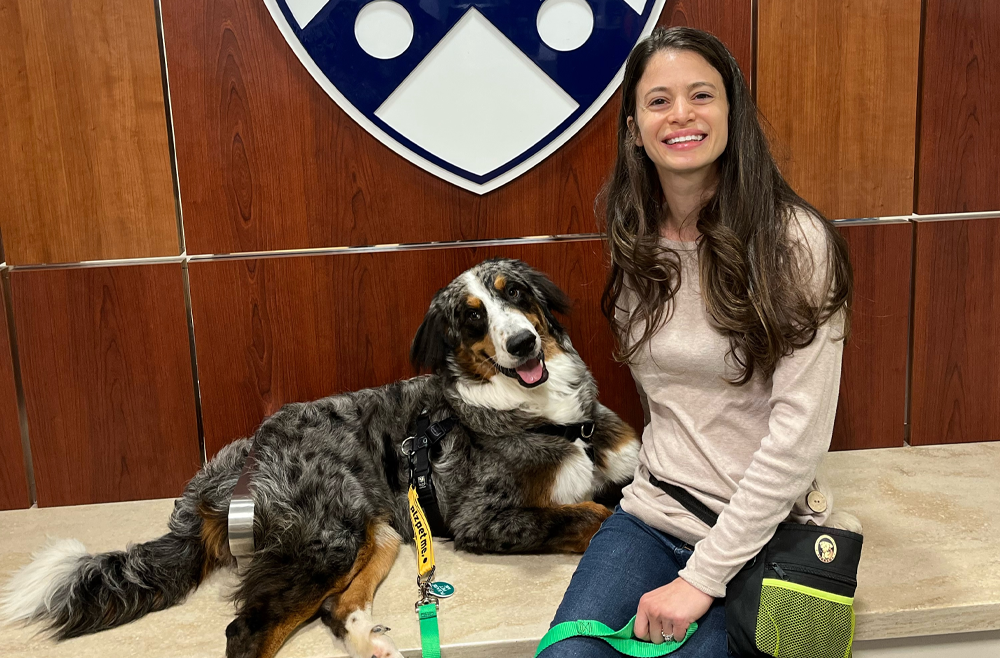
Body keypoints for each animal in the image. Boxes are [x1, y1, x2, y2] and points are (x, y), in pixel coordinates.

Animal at [0, 256, 640, 656]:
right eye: (473, 315)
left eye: (516, 294)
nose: (523, 343)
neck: (556, 417)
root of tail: (222, 473)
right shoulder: (482, 518)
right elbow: (591, 516)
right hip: (323, 541)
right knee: (247, 631)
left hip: (374, 532)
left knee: (334, 607)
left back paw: (372, 643)